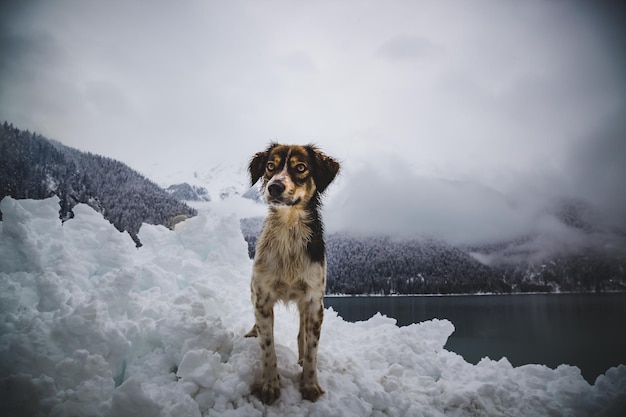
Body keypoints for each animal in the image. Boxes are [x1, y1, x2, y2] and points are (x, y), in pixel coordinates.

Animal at [246, 142, 338, 404]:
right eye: (270, 165)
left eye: (300, 167)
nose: (274, 187)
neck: (289, 228)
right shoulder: (262, 298)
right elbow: (268, 346)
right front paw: (269, 386)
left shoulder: (314, 302)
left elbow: (312, 350)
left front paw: (309, 385)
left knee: (302, 336)